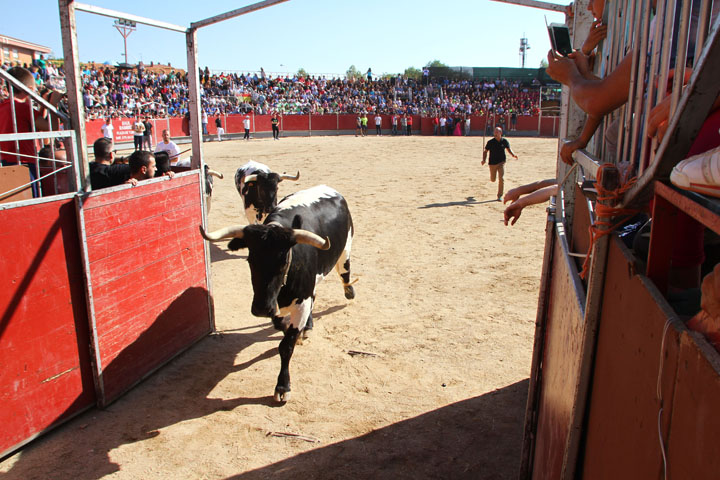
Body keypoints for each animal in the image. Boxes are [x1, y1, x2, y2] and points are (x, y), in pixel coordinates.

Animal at [198, 184, 356, 402]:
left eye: (282, 261)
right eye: (250, 260)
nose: (261, 309)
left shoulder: (300, 301)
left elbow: (286, 346)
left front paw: (283, 386)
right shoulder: (276, 306)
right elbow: (282, 327)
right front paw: (295, 331)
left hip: (345, 251)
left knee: (344, 273)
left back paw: (349, 291)